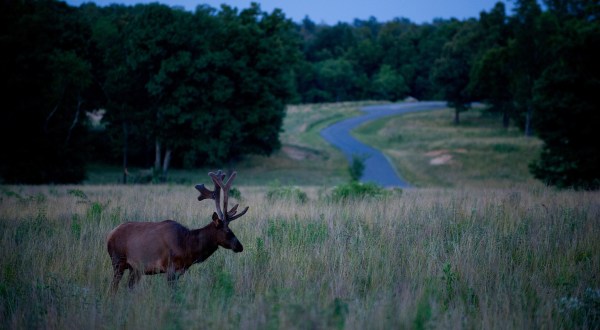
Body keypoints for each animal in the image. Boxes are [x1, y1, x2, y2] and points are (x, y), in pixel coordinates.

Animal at [106, 170, 248, 294]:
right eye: (227, 230)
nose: (240, 246)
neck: (188, 247)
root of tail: (109, 235)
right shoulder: (170, 269)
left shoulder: (178, 272)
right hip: (118, 261)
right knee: (113, 288)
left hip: (135, 269)